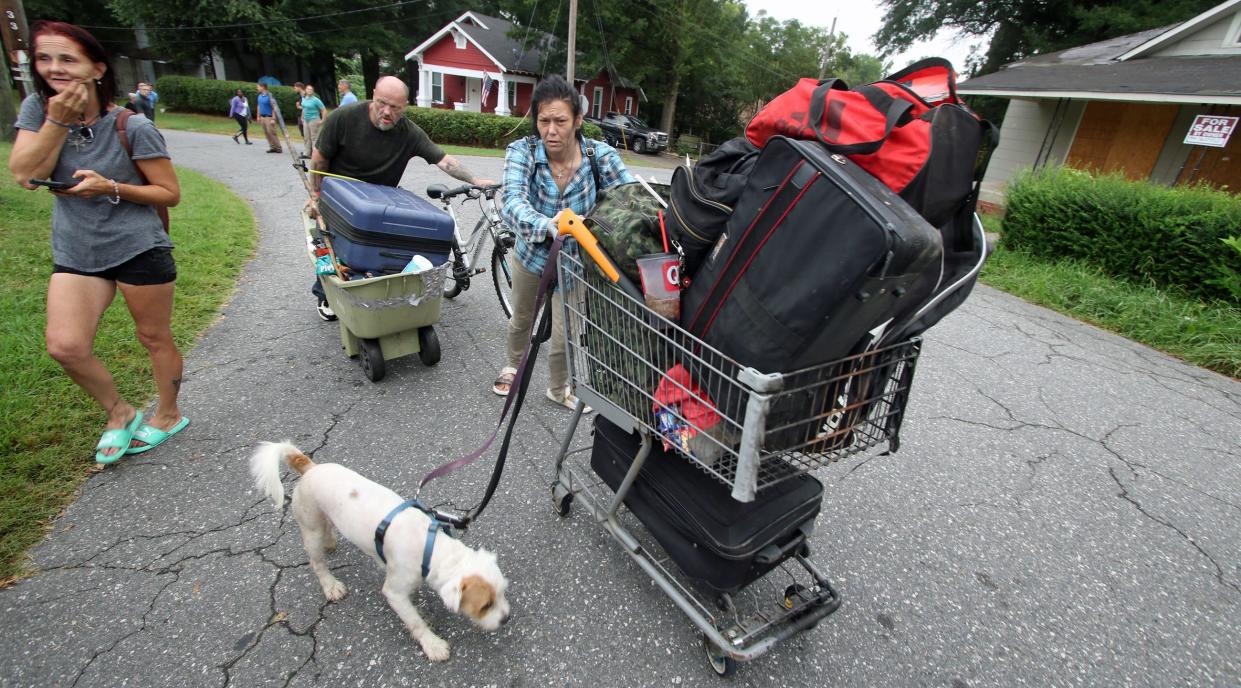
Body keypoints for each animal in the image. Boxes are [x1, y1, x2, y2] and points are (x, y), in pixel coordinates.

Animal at [249, 439, 511, 660]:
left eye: (503, 593)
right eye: (485, 606)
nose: (506, 619)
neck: (431, 547)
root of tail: (310, 467)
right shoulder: (394, 592)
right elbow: (415, 621)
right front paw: (432, 644)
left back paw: (330, 542)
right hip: (310, 529)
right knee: (318, 563)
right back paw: (331, 585)